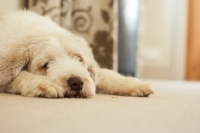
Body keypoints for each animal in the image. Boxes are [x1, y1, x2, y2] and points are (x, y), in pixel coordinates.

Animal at [0, 10, 154, 98]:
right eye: (45, 65)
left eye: (78, 58)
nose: (76, 83)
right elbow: (20, 76)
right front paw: (46, 84)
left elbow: (108, 75)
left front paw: (136, 84)